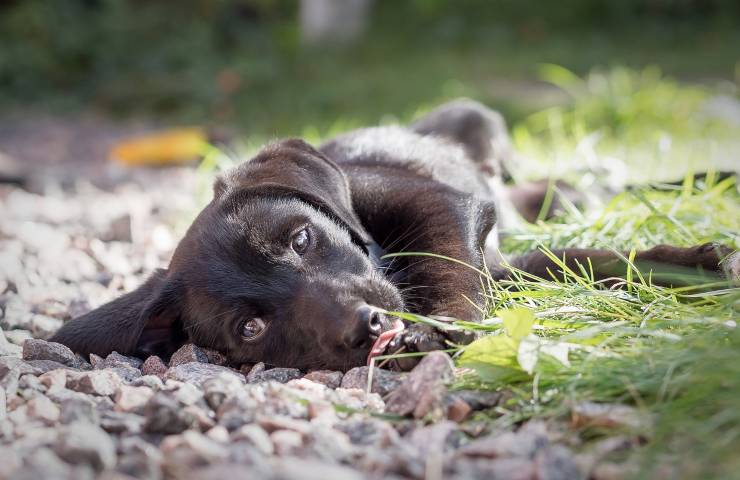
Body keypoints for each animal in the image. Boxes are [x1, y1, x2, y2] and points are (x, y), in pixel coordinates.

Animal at [49, 99, 736, 372]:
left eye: (302, 240)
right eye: (250, 328)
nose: (369, 329)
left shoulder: (444, 207)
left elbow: (447, 267)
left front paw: (448, 328)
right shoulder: (505, 265)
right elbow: (587, 261)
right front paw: (695, 267)